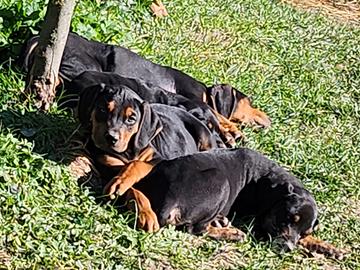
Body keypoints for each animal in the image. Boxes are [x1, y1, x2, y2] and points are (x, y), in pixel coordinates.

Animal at [79, 83, 219, 230]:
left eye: (131, 119)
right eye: (102, 109)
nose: (111, 138)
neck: (129, 151)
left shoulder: (159, 160)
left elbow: (136, 163)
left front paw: (121, 182)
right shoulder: (107, 165)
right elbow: (133, 190)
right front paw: (145, 213)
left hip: (205, 137)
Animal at [127, 149, 346, 258]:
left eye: (304, 232)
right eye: (288, 218)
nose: (287, 249)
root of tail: (169, 198)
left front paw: (331, 248)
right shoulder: (261, 225)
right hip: (220, 180)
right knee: (195, 229)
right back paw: (230, 232)